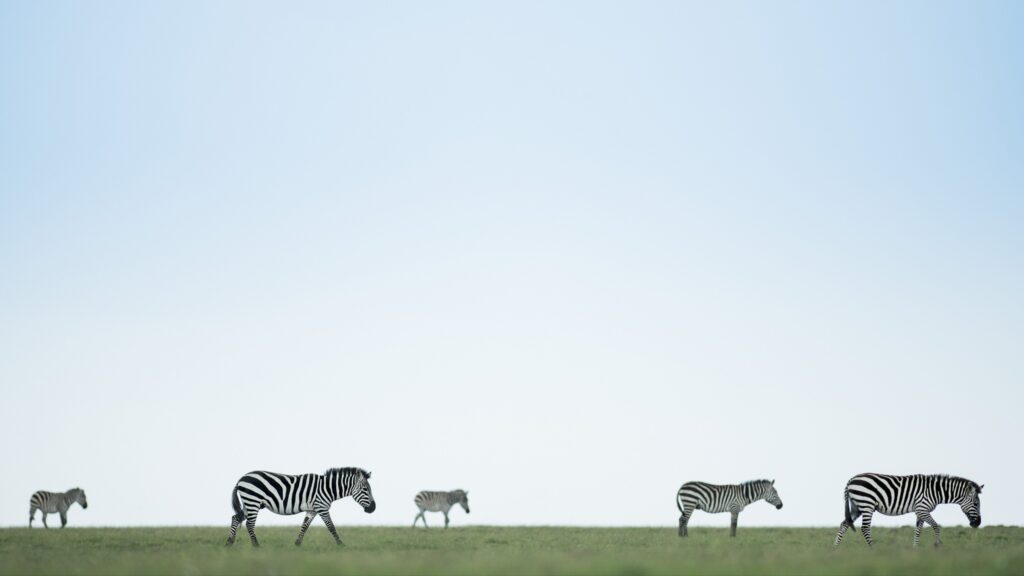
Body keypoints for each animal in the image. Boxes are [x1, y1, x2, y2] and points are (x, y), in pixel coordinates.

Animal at [226, 467, 375, 547]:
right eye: (365, 489)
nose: (373, 508)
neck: (327, 489)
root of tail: (241, 479)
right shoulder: (322, 508)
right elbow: (331, 526)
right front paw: (340, 544)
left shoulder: (312, 510)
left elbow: (304, 526)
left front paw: (297, 544)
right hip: (253, 502)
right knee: (250, 524)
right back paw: (256, 546)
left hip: (250, 503)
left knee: (236, 518)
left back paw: (229, 542)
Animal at [834, 473, 983, 548]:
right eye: (976, 504)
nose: (978, 523)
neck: (935, 491)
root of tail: (851, 480)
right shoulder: (922, 509)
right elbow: (936, 526)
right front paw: (937, 545)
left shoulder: (920, 511)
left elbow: (918, 530)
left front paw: (914, 549)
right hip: (867, 505)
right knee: (865, 528)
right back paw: (874, 550)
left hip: (857, 507)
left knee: (844, 524)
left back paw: (835, 549)